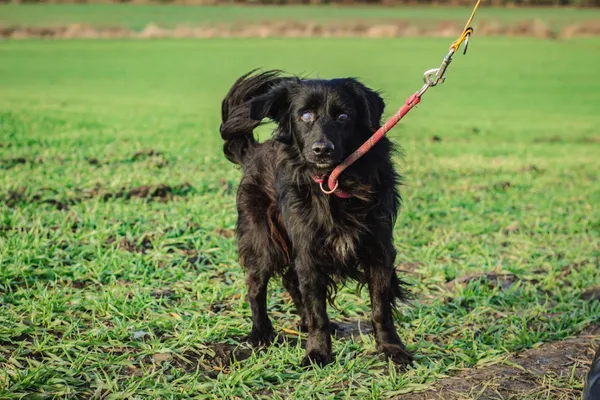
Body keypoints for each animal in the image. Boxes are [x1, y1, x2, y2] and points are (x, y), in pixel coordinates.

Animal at [220, 70, 412, 368]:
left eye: (343, 116)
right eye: (305, 115)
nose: (322, 149)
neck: (336, 182)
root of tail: (253, 151)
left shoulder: (379, 250)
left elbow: (380, 308)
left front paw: (391, 348)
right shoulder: (308, 250)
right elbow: (317, 310)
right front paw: (317, 352)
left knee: (290, 281)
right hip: (264, 239)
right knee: (256, 285)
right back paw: (261, 333)